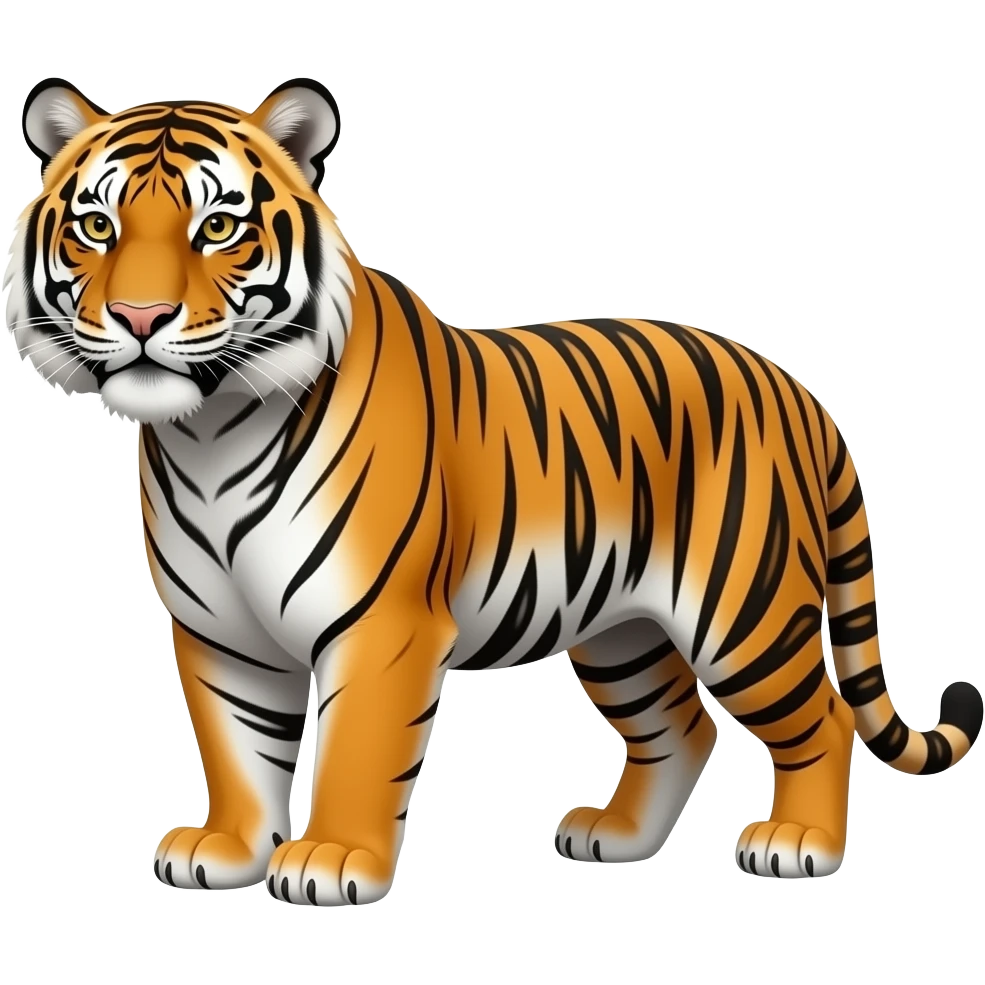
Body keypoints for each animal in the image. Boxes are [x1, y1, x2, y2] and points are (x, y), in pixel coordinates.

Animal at [6, 76, 982, 906]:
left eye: (216, 227)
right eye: (96, 225)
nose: (139, 318)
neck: (206, 433)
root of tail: (794, 387)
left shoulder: (381, 623)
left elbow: (357, 748)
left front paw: (331, 860)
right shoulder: (219, 630)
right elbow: (236, 745)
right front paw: (230, 848)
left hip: (742, 609)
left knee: (820, 716)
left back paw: (797, 844)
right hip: (621, 629)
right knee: (682, 726)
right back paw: (614, 837)